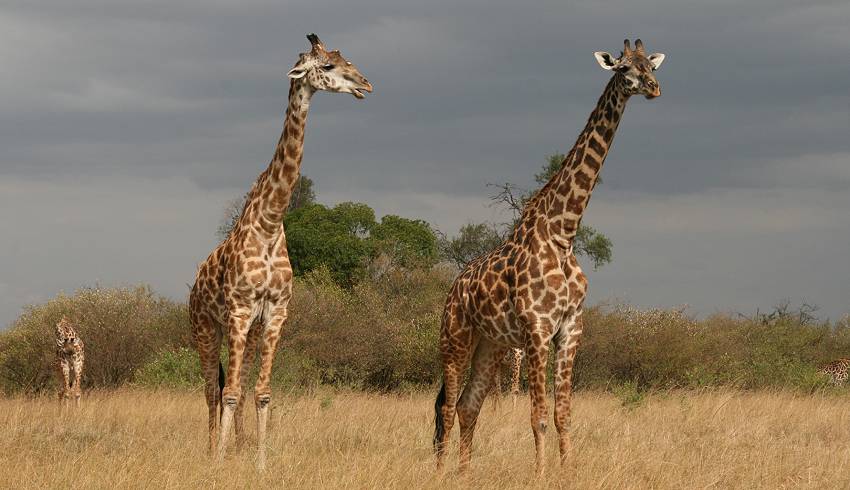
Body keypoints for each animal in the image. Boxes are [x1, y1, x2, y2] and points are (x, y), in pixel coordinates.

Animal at [190, 34, 370, 470]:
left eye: (345, 59)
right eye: (326, 66)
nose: (366, 84)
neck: (270, 223)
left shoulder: (275, 314)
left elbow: (262, 392)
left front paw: (258, 463)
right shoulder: (239, 310)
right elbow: (229, 393)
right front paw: (220, 463)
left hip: (247, 330)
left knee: (233, 385)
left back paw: (236, 446)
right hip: (205, 328)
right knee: (211, 389)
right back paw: (211, 449)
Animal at [434, 40, 664, 476]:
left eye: (650, 65)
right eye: (624, 68)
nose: (654, 88)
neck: (563, 232)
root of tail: (453, 289)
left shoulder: (570, 328)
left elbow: (562, 414)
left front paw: (568, 470)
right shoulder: (538, 329)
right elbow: (538, 415)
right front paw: (540, 473)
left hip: (491, 346)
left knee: (468, 406)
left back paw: (464, 472)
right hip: (455, 338)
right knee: (446, 407)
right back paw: (438, 472)